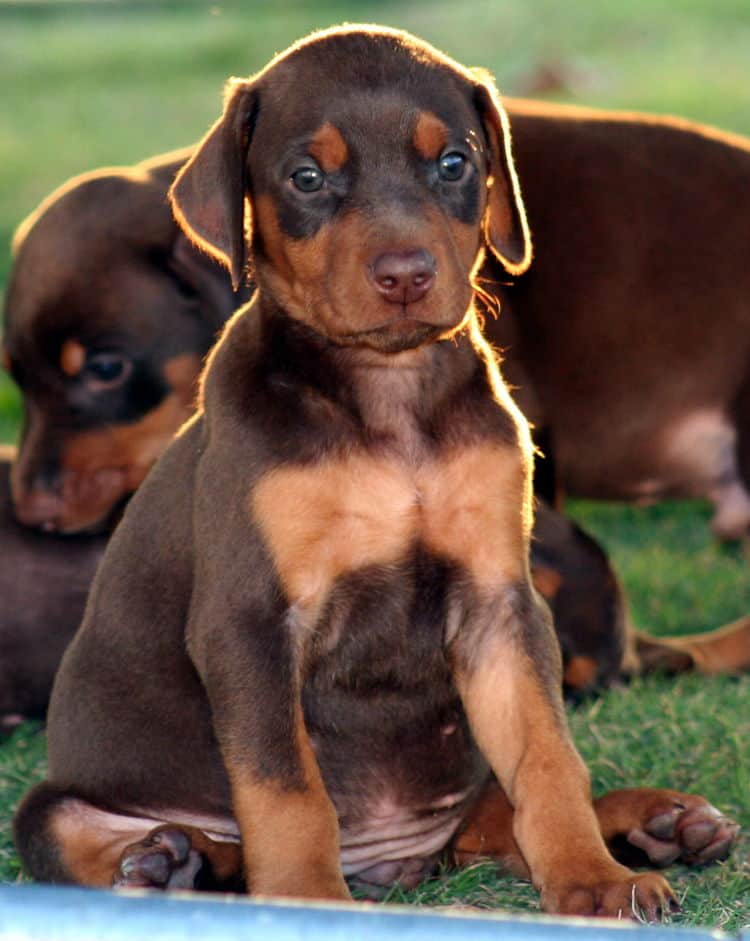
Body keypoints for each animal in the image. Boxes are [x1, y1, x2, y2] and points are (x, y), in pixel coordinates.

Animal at [16, 27, 740, 912]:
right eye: (307, 176)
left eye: (454, 162)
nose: (406, 274)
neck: (388, 396)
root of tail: (398, 861)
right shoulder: (250, 621)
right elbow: (287, 787)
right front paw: (307, 903)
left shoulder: (499, 603)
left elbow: (547, 757)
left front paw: (592, 880)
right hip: (58, 804)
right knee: (96, 834)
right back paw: (168, 862)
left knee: (495, 817)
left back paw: (662, 822)